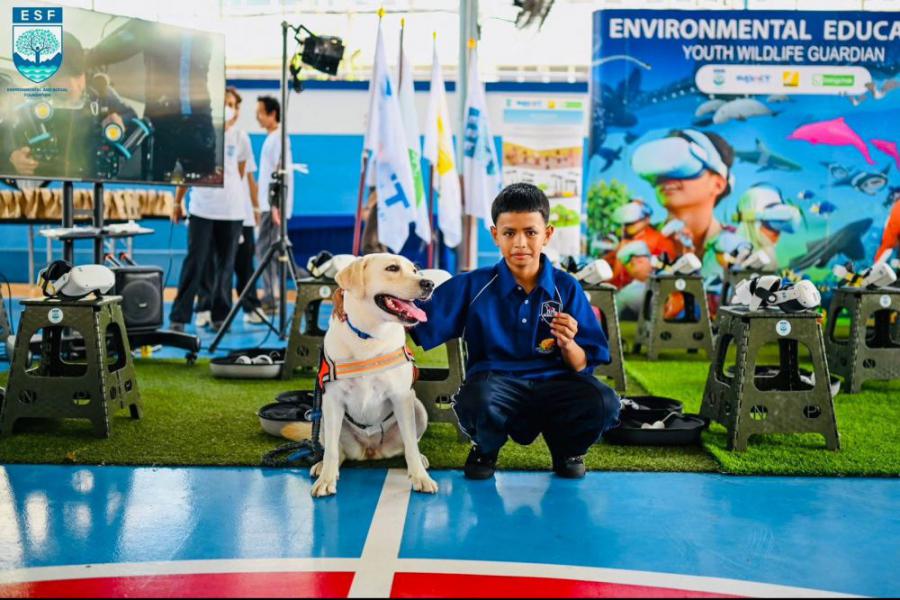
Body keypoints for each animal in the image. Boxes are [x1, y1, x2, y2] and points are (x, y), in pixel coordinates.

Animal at [310, 253, 438, 498]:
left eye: (415, 270)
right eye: (392, 268)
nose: (429, 284)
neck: (369, 336)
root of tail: (371, 450)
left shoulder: (401, 396)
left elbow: (410, 443)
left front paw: (420, 477)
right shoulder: (332, 400)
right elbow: (331, 450)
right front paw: (326, 480)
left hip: (418, 408)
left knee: (408, 445)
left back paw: (421, 459)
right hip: (321, 419)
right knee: (336, 449)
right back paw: (323, 467)